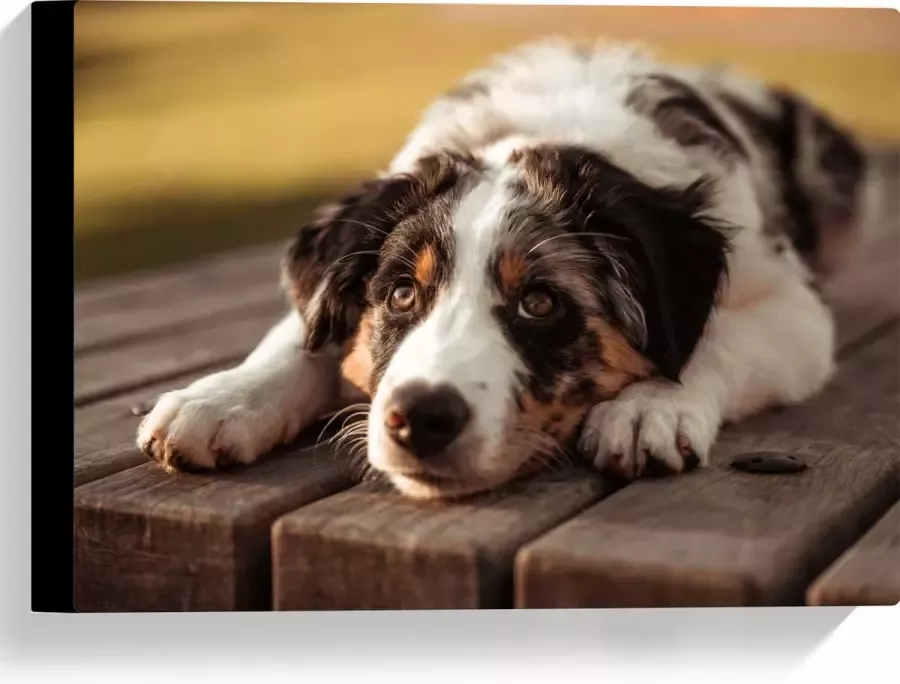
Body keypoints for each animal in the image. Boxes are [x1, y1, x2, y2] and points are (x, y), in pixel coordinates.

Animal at [135, 40, 872, 500]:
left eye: (539, 303)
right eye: (400, 294)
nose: (419, 419)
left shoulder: (794, 309)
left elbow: (716, 338)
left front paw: (649, 407)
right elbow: (300, 333)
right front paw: (222, 400)